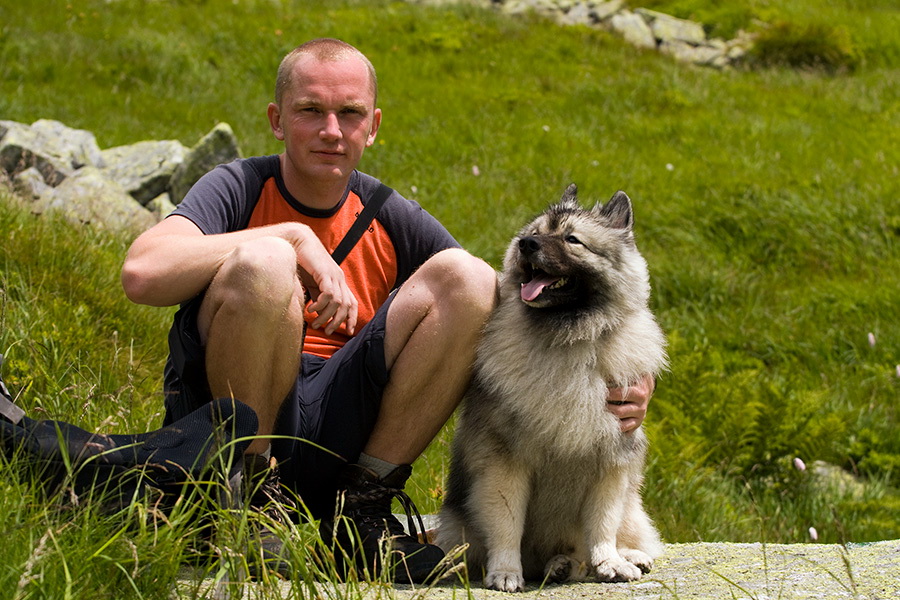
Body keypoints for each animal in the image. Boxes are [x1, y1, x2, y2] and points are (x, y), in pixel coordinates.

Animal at [436, 185, 668, 592]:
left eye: (572, 240)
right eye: (536, 232)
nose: (526, 244)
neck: (569, 338)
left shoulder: (611, 461)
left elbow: (603, 524)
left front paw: (610, 562)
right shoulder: (505, 462)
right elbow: (507, 524)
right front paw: (505, 572)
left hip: (631, 503)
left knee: (625, 531)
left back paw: (625, 557)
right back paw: (556, 565)